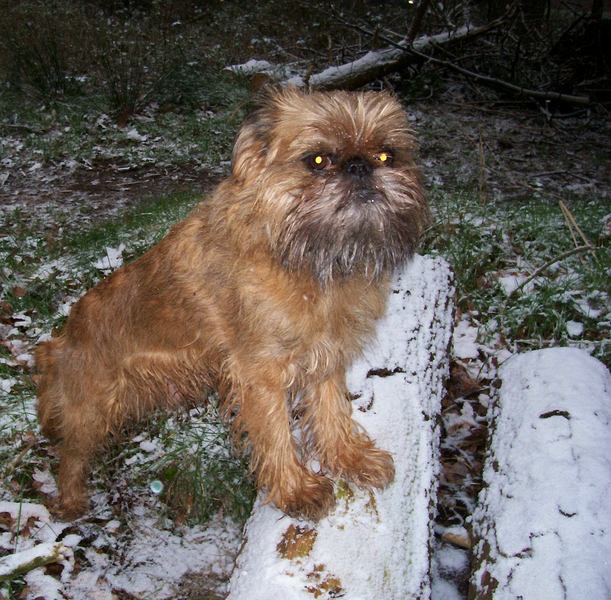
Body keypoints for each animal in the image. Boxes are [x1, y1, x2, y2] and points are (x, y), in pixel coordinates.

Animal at [35, 85, 428, 520]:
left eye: (386, 155)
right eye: (318, 161)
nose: (361, 167)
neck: (306, 260)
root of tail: (62, 338)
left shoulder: (325, 355)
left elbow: (331, 411)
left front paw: (348, 458)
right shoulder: (260, 373)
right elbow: (275, 431)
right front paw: (295, 489)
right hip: (93, 405)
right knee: (70, 455)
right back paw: (71, 500)